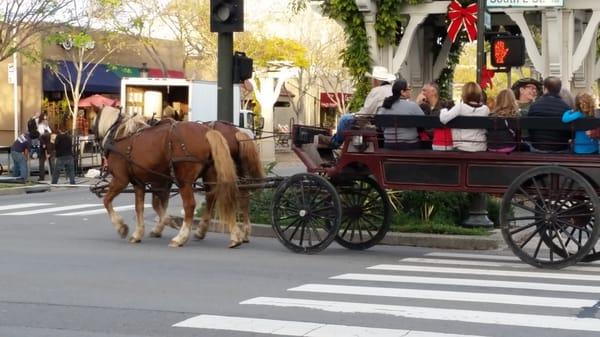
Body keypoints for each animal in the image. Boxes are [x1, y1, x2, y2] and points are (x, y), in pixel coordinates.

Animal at [94, 106, 244, 248]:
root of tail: (207, 132)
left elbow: (107, 201)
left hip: (184, 182)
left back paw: (181, 237)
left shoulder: (121, 180)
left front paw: (122, 227)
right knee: (221, 198)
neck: (119, 136)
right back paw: (233, 236)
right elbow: (140, 207)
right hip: (210, 177)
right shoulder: (140, 183)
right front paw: (138, 233)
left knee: (190, 205)